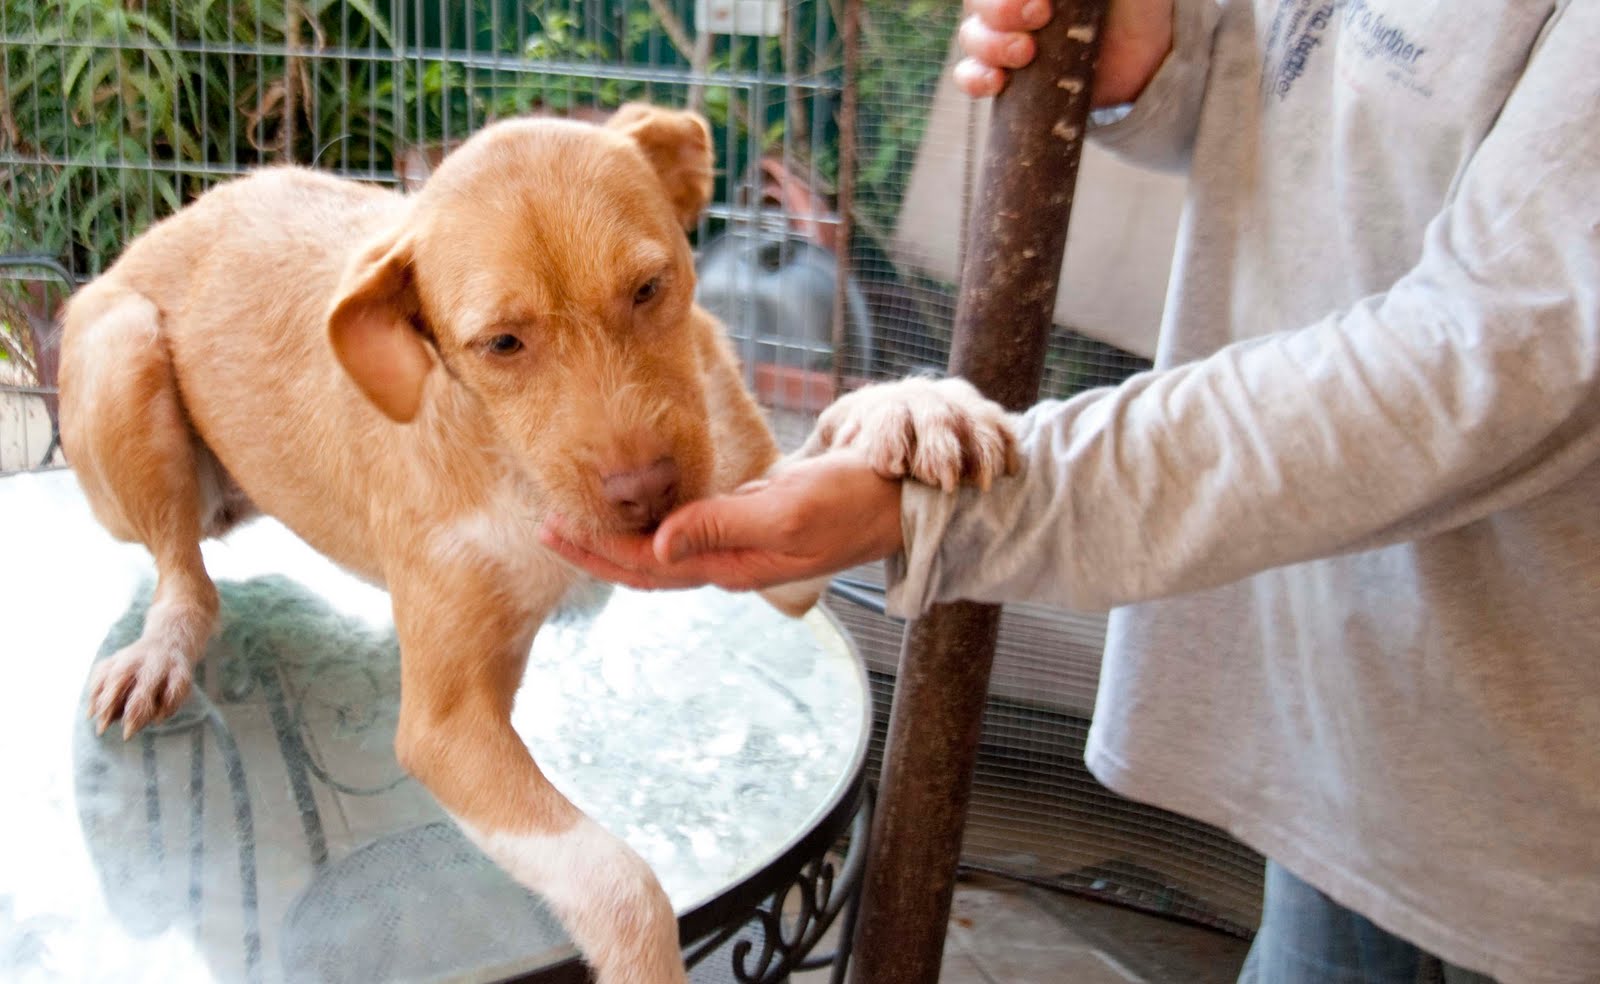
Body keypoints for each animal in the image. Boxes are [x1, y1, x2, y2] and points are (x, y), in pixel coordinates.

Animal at [58, 103, 838, 984]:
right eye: (501, 344)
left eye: (648, 288)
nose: (646, 495)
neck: (510, 466)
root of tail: (161, 228)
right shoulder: (446, 725)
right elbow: (621, 882)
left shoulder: (766, 527)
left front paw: (907, 426)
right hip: (121, 353)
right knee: (182, 570)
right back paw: (164, 643)